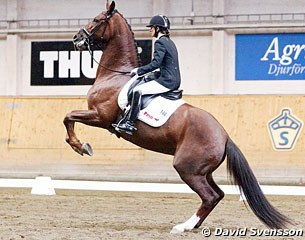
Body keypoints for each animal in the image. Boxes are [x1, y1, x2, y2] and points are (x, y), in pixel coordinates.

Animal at [63, 0, 288, 232]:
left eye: (97, 19)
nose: (76, 38)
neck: (115, 75)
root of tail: (225, 137)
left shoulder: (101, 116)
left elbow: (68, 117)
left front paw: (81, 146)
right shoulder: (99, 117)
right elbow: (69, 118)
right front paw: (79, 145)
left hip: (187, 168)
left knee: (209, 196)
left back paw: (183, 226)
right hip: (203, 171)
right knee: (217, 194)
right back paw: (194, 224)